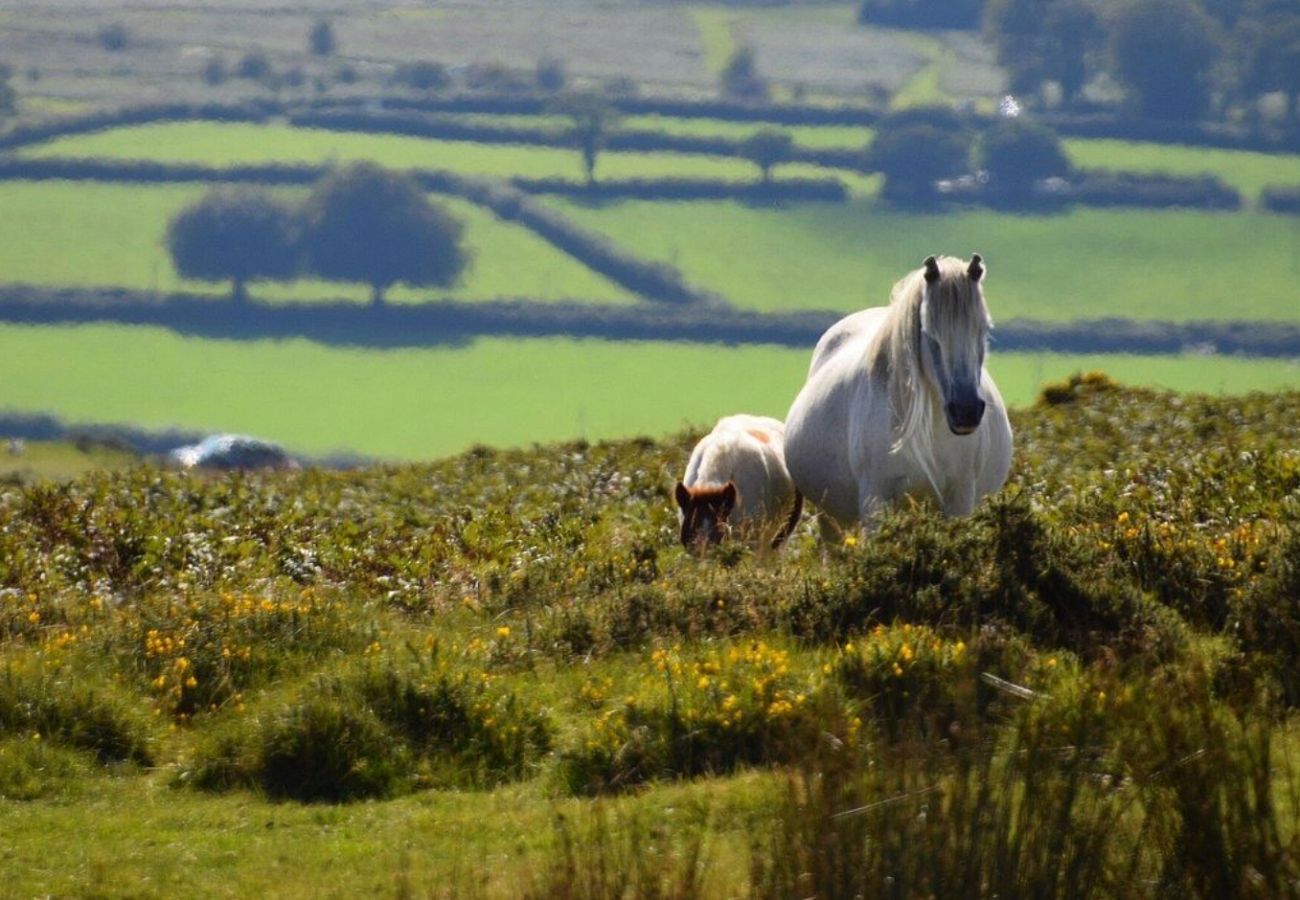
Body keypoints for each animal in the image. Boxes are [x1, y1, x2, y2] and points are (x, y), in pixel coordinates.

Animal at [780, 253, 1013, 530]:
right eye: (930, 333)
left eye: (984, 329)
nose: (966, 411)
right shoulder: (875, 501)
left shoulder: (960, 499)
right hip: (830, 518)